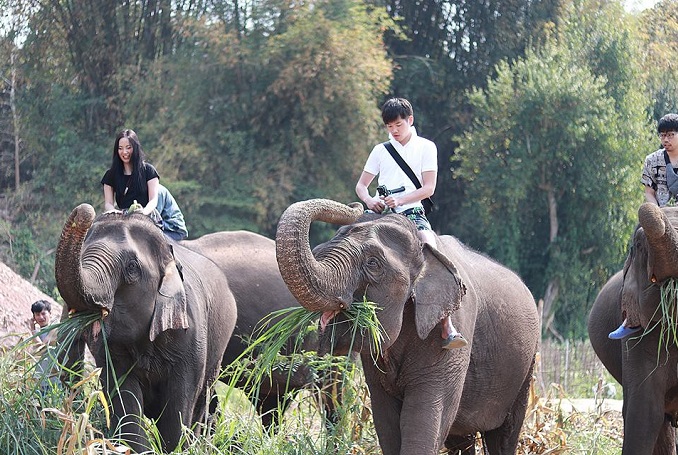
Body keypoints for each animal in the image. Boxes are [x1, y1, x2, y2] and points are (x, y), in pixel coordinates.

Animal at [55, 205, 239, 454]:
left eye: (132, 267)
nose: (86, 210)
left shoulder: (191, 336)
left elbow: (179, 406)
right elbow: (124, 399)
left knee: (203, 402)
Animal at [274, 200, 540, 455]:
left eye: (373, 263)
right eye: (318, 251)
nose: (356, 206)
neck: (425, 253)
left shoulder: (454, 328)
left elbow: (425, 414)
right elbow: (387, 421)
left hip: (526, 367)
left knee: (504, 435)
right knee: (460, 440)